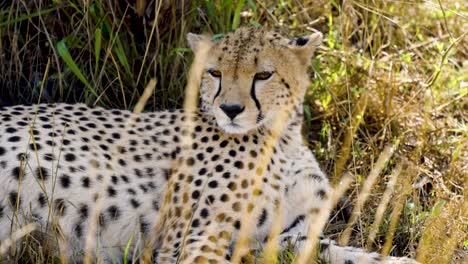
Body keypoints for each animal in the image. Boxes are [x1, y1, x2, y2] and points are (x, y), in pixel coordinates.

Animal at [0, 27, 416, 262]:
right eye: (214, 72)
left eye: (263, 74)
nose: (230, 109)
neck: (279, 138)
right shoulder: (187, 241)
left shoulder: (282, 239)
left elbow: (344, 253)